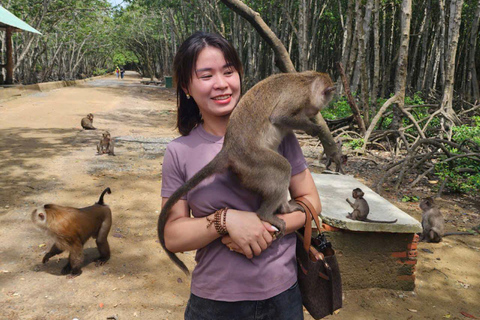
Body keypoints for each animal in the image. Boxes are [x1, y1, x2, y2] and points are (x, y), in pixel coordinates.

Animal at [159, 71, 336, 274]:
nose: (315, 114)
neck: (307, 79)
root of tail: (229, 150)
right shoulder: (299, 95)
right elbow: (279, 116)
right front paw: (315, 128)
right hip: (251, 162)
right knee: (283, 167)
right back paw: (267, 214)